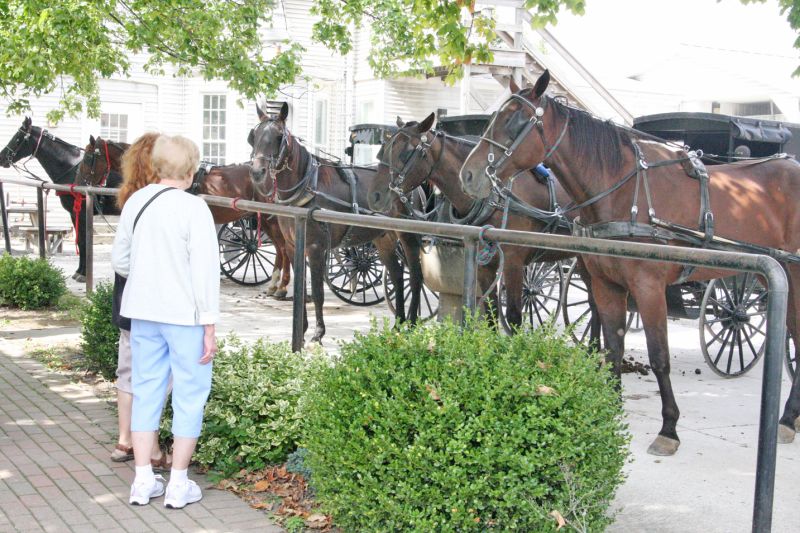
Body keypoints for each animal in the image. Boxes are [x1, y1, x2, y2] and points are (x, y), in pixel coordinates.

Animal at [0, 118, 123, 280]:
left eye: (18, 137)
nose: (2, 157)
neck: (71, 169)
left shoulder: (82, 213)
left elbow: (83, 241)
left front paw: (83, 274)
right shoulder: (73, 213)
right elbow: (80, 241)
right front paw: (79, 271)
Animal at [77, 136, 290, 296]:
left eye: (88, 157)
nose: (82, 182)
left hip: (272, 220)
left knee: (283, 248)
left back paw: (282, 287)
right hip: (266, 220)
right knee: (279, 249)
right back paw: (274, 285)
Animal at [250, 103, 424, 344]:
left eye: (278, 137)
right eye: (254, 135)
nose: (257, 172)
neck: (307, 186)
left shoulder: (316, 248)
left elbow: (318, 292)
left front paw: (318, 333)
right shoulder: (294, 246)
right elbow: (301, 289)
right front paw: (302, 329)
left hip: (407, 235)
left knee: (415, 276)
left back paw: (412, 324)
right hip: (383, 237)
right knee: (397, 276)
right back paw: (397, 325)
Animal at [368, 114, 600, 332]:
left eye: (405, 152)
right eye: (383, 149)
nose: (375, 196)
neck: (493, 197)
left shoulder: (513, 262)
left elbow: (514, 316)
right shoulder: (485, 265)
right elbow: (490, 314)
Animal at [460, 69, 800, 454]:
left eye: (516, 121)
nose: (468, 175)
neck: (624, 192)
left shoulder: (648, 288)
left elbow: (659, 357)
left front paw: (669, 428)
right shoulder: (607, 286)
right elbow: (614, 345)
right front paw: (609, 408)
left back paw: (787, 418)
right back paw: (790, 418)